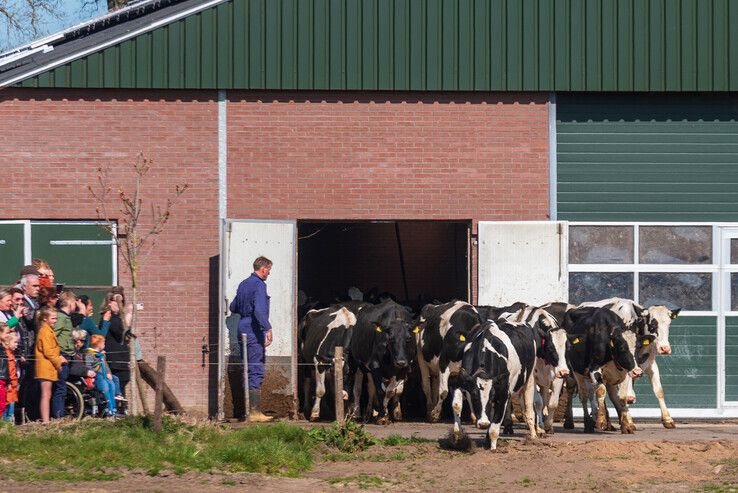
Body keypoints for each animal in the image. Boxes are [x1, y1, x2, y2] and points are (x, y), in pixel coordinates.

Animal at [576, 296, 680, 426]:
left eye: (668, 324)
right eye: (652, 324)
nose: (665, 348)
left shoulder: (650, 364)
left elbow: (659, 390)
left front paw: (667, 419)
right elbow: (623, 393)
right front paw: (628, 419)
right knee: (594, 391)